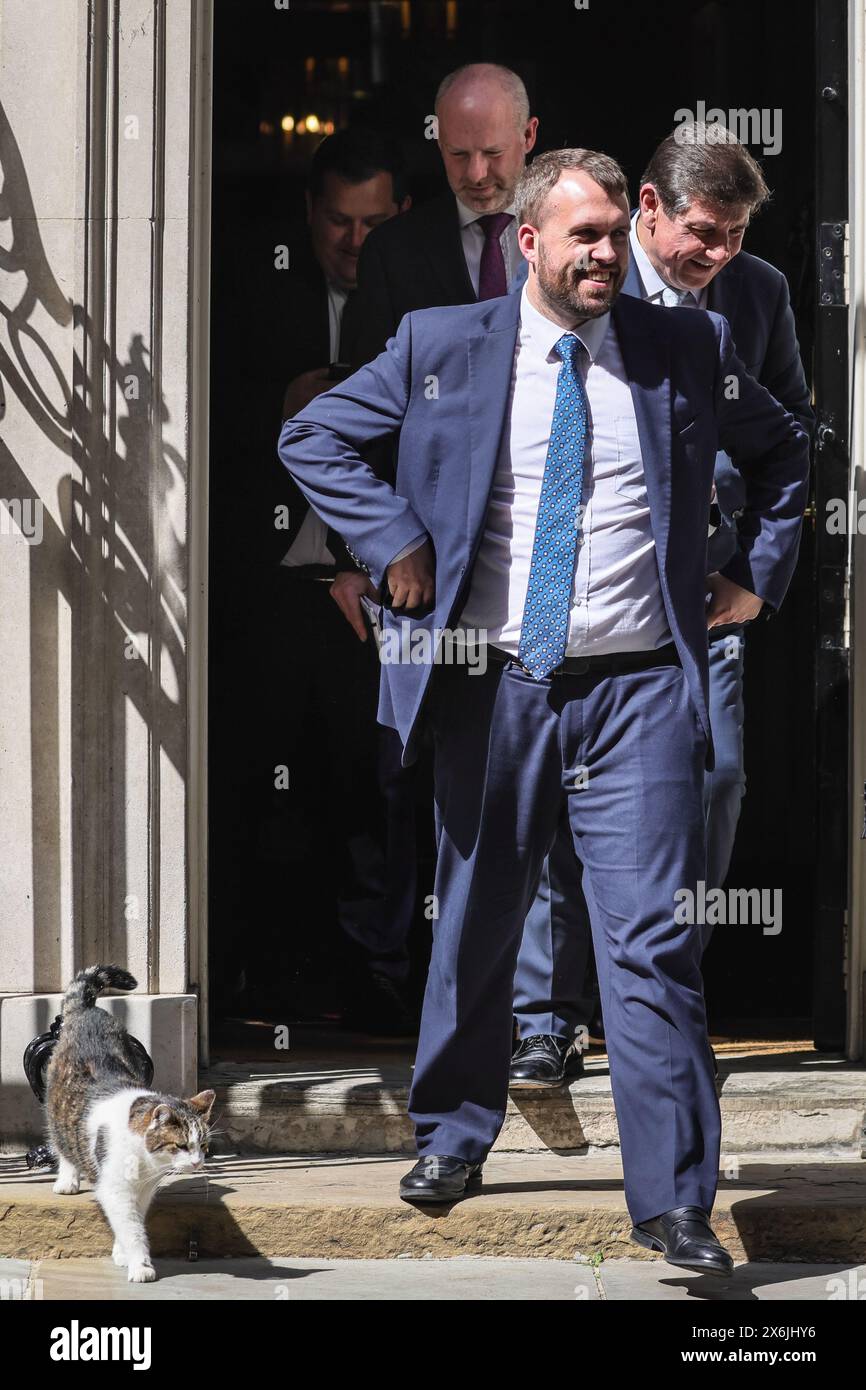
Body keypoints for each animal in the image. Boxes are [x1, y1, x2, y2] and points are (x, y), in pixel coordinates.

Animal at [44, 967, 215, 1278]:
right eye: (181, 1145)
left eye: (203, 1146)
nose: (198, 1163)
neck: (144, 1161)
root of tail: (87, 1009)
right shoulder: (115, 1188)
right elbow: (130, 1226)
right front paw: (140, 1264)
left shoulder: (145, 1190)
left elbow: (133, 1220)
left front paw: (122, 1253)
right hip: (56, 1105)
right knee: (61, 1140)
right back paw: (67, 1179)